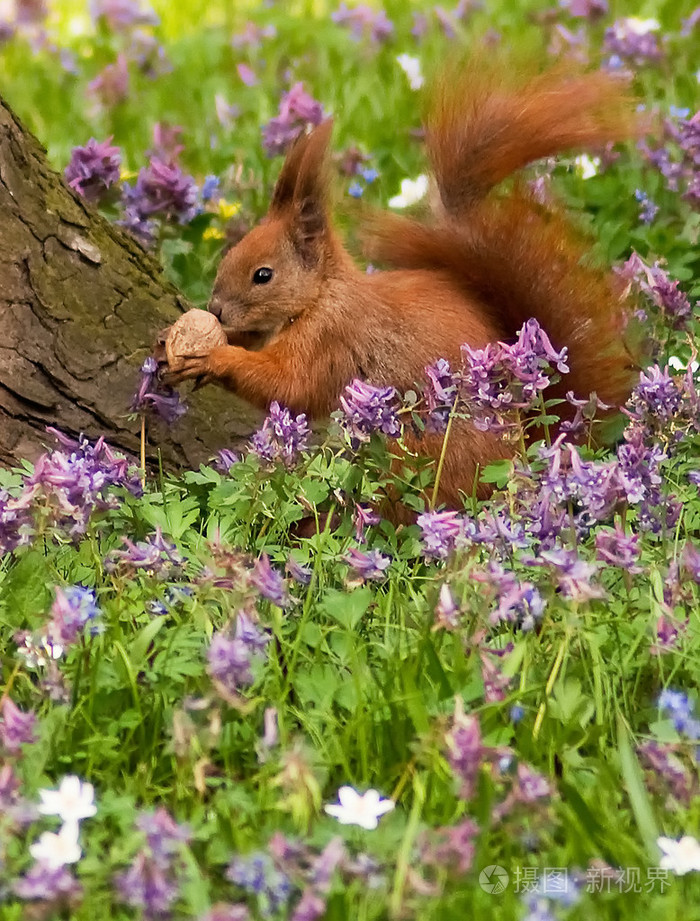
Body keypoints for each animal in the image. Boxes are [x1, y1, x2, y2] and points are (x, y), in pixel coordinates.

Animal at [165, 59, 640, 510]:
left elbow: (289, 385)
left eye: (263, 275)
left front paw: (215, 357)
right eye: (229, 255)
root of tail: (526, 452)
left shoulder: (332, 338)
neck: (321, 295)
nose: (216, 308)